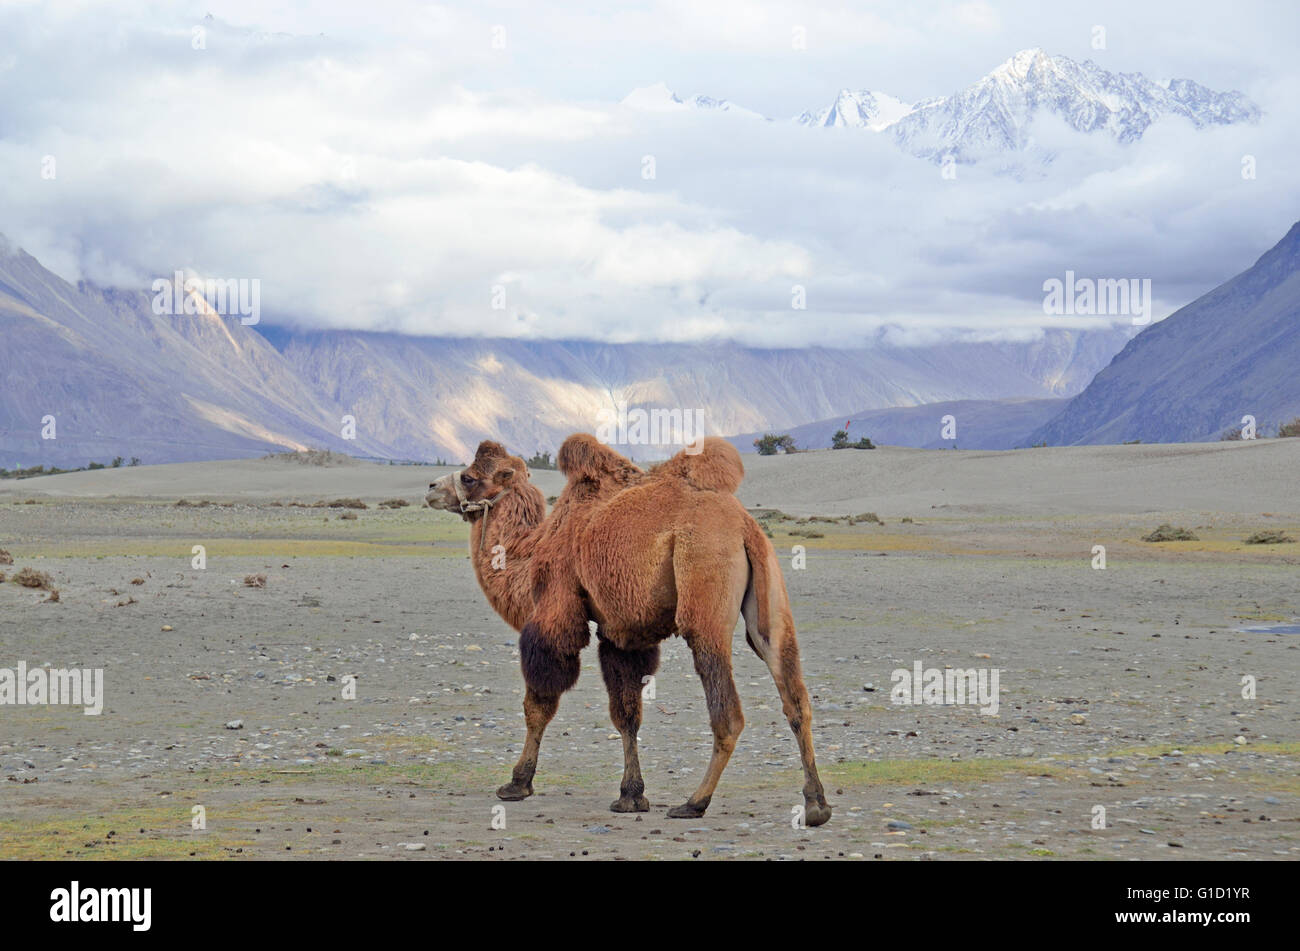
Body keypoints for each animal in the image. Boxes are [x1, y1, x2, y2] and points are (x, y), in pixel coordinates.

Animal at [425, 435, 831, 826]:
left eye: (469, 477)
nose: (431, 487)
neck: (535, 549)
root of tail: (745, 527)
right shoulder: (621, 634)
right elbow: (627, 713)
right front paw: (631, 795)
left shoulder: (556, 611)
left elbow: (539, 704)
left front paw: (517, 783)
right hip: (769, 600)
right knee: (794, 695)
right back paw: (816, 805)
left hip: (702, 590)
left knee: (728, 712)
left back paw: (694, 802)